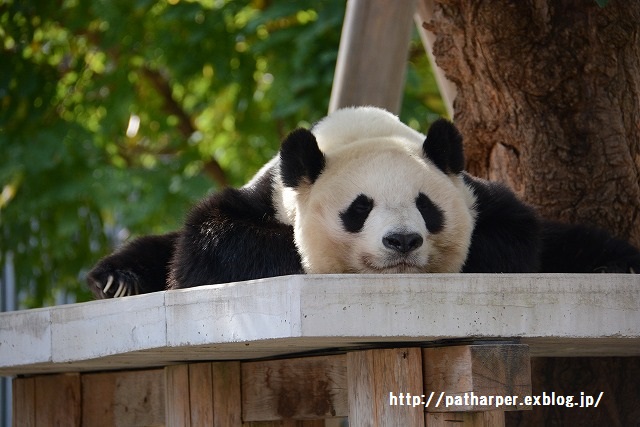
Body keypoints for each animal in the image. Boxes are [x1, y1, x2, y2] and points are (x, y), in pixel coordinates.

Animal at [89, 107, 640, 298]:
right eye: (359, 208)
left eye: (427, 207)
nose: (402, 242)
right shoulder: (268, 195)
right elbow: (206, 244)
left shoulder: (479, 196)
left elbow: (515, 234)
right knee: (158, 249)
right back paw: (116, 280)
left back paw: (616, 266)